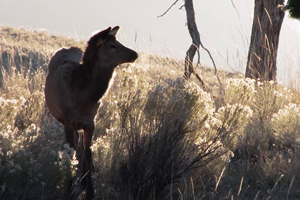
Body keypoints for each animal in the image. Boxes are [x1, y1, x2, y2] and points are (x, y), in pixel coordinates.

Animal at [44, 26, 138, 198]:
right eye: (112, 46)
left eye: (118, 42)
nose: (135, 54)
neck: (85, 97)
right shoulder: (68, 121)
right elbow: (71, 152)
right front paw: (68, 189)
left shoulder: (90, 122)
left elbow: (88, 154)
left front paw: (89, 191)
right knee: (72, 148)